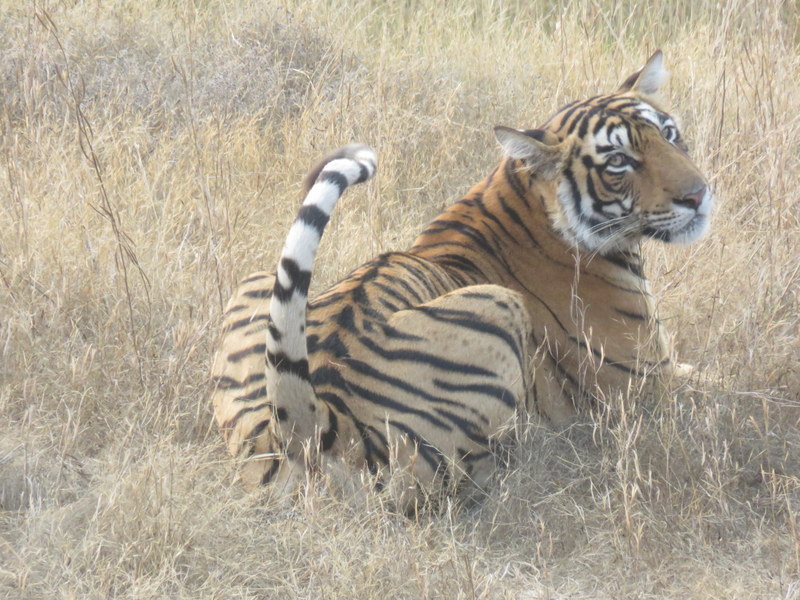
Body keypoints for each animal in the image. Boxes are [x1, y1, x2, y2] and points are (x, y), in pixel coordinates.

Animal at [209, 50, 708, 506]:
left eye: (668, 134)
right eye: (619, 161)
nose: (699, 195)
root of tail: (310, 424)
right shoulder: (647, 386)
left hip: (256, 280)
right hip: (496, 306)